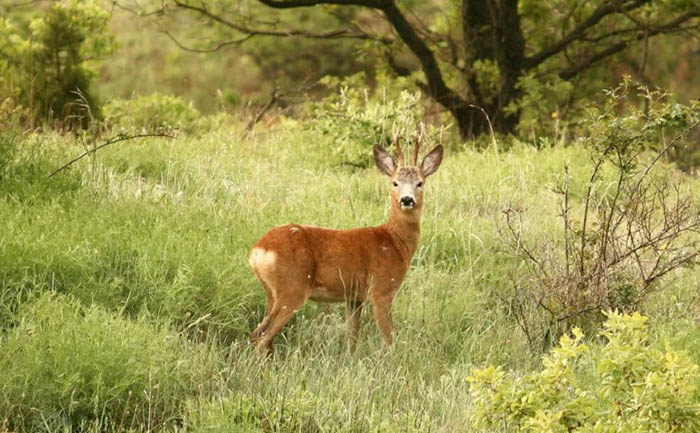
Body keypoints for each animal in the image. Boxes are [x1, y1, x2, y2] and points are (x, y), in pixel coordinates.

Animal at [247, 129, 442, 352]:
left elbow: (351, 337)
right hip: (292, 287)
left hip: (271, 293)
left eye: (420, 183)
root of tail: (258, 250)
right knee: (262, 337)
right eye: (395, 183)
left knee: (259, 334)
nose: (407, 200)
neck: (394, 242)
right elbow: (389, 338)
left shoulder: (354, 297)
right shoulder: (381, 290)